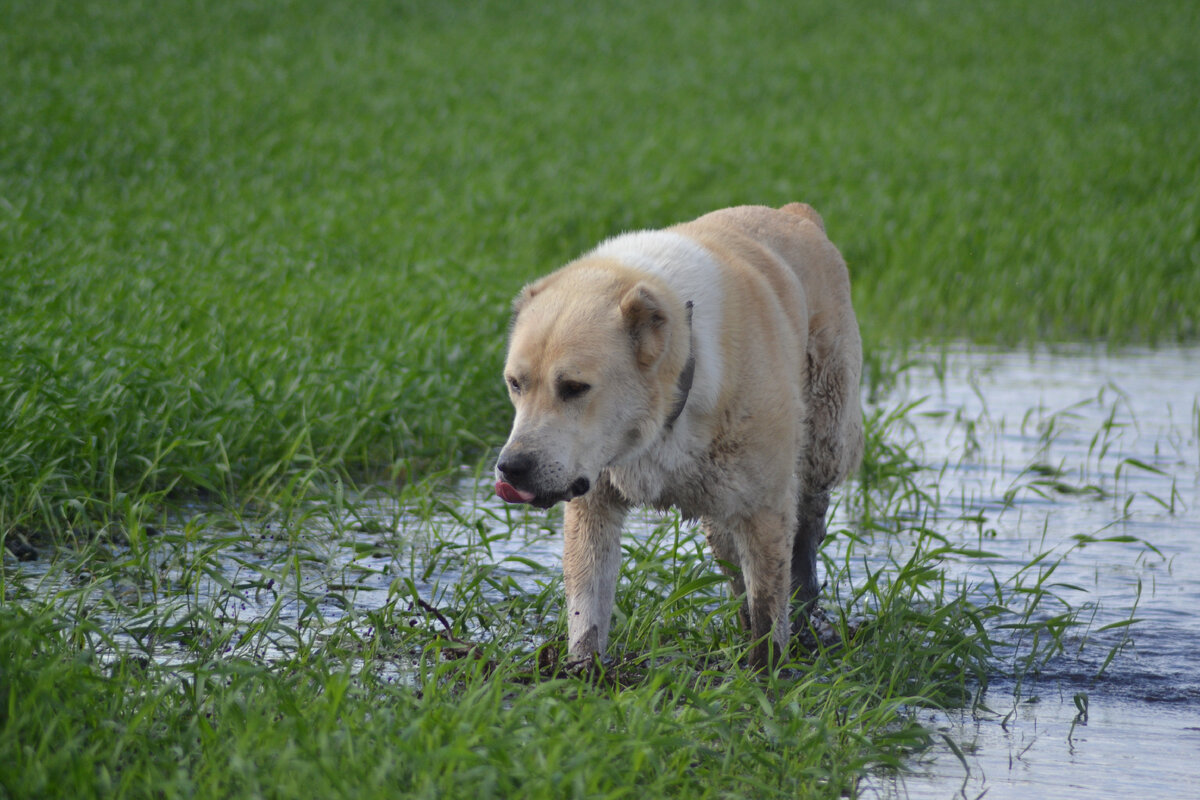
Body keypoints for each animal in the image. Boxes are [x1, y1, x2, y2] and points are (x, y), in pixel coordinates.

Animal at [494, 201, 864, 671]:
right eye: (515, 384)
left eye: (575, 387)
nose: (511, 467)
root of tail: (797, 214)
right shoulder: (593, 503)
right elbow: (587, 603)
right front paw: (583, 671)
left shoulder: (765, 506)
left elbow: (768, 603)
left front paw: (766, 676)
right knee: (730, 555)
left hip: (825, 440)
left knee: (808, 523)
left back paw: (804, 609)